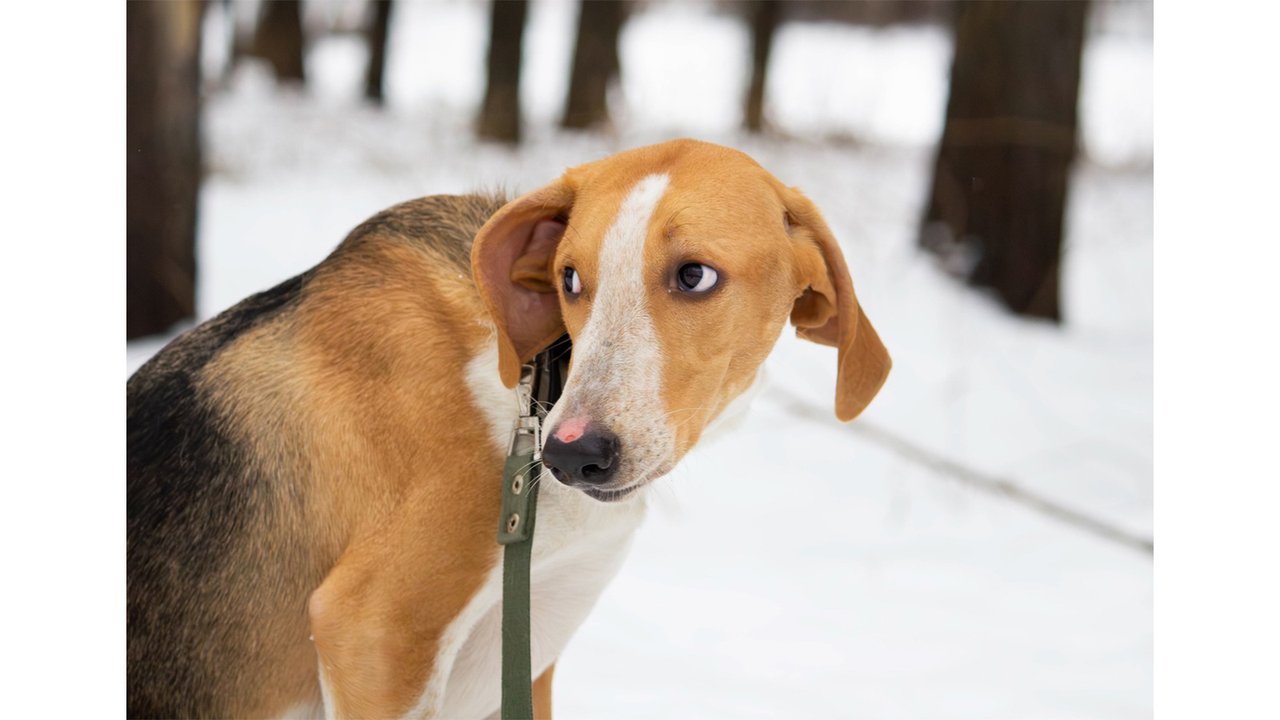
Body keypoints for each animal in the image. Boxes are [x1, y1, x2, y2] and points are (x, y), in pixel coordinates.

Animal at [127, 137, 890, 712]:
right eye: (569, 280)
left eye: (695, 275)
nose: (572, 456)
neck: (536, 380)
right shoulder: (373, 633)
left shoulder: (527, 657)